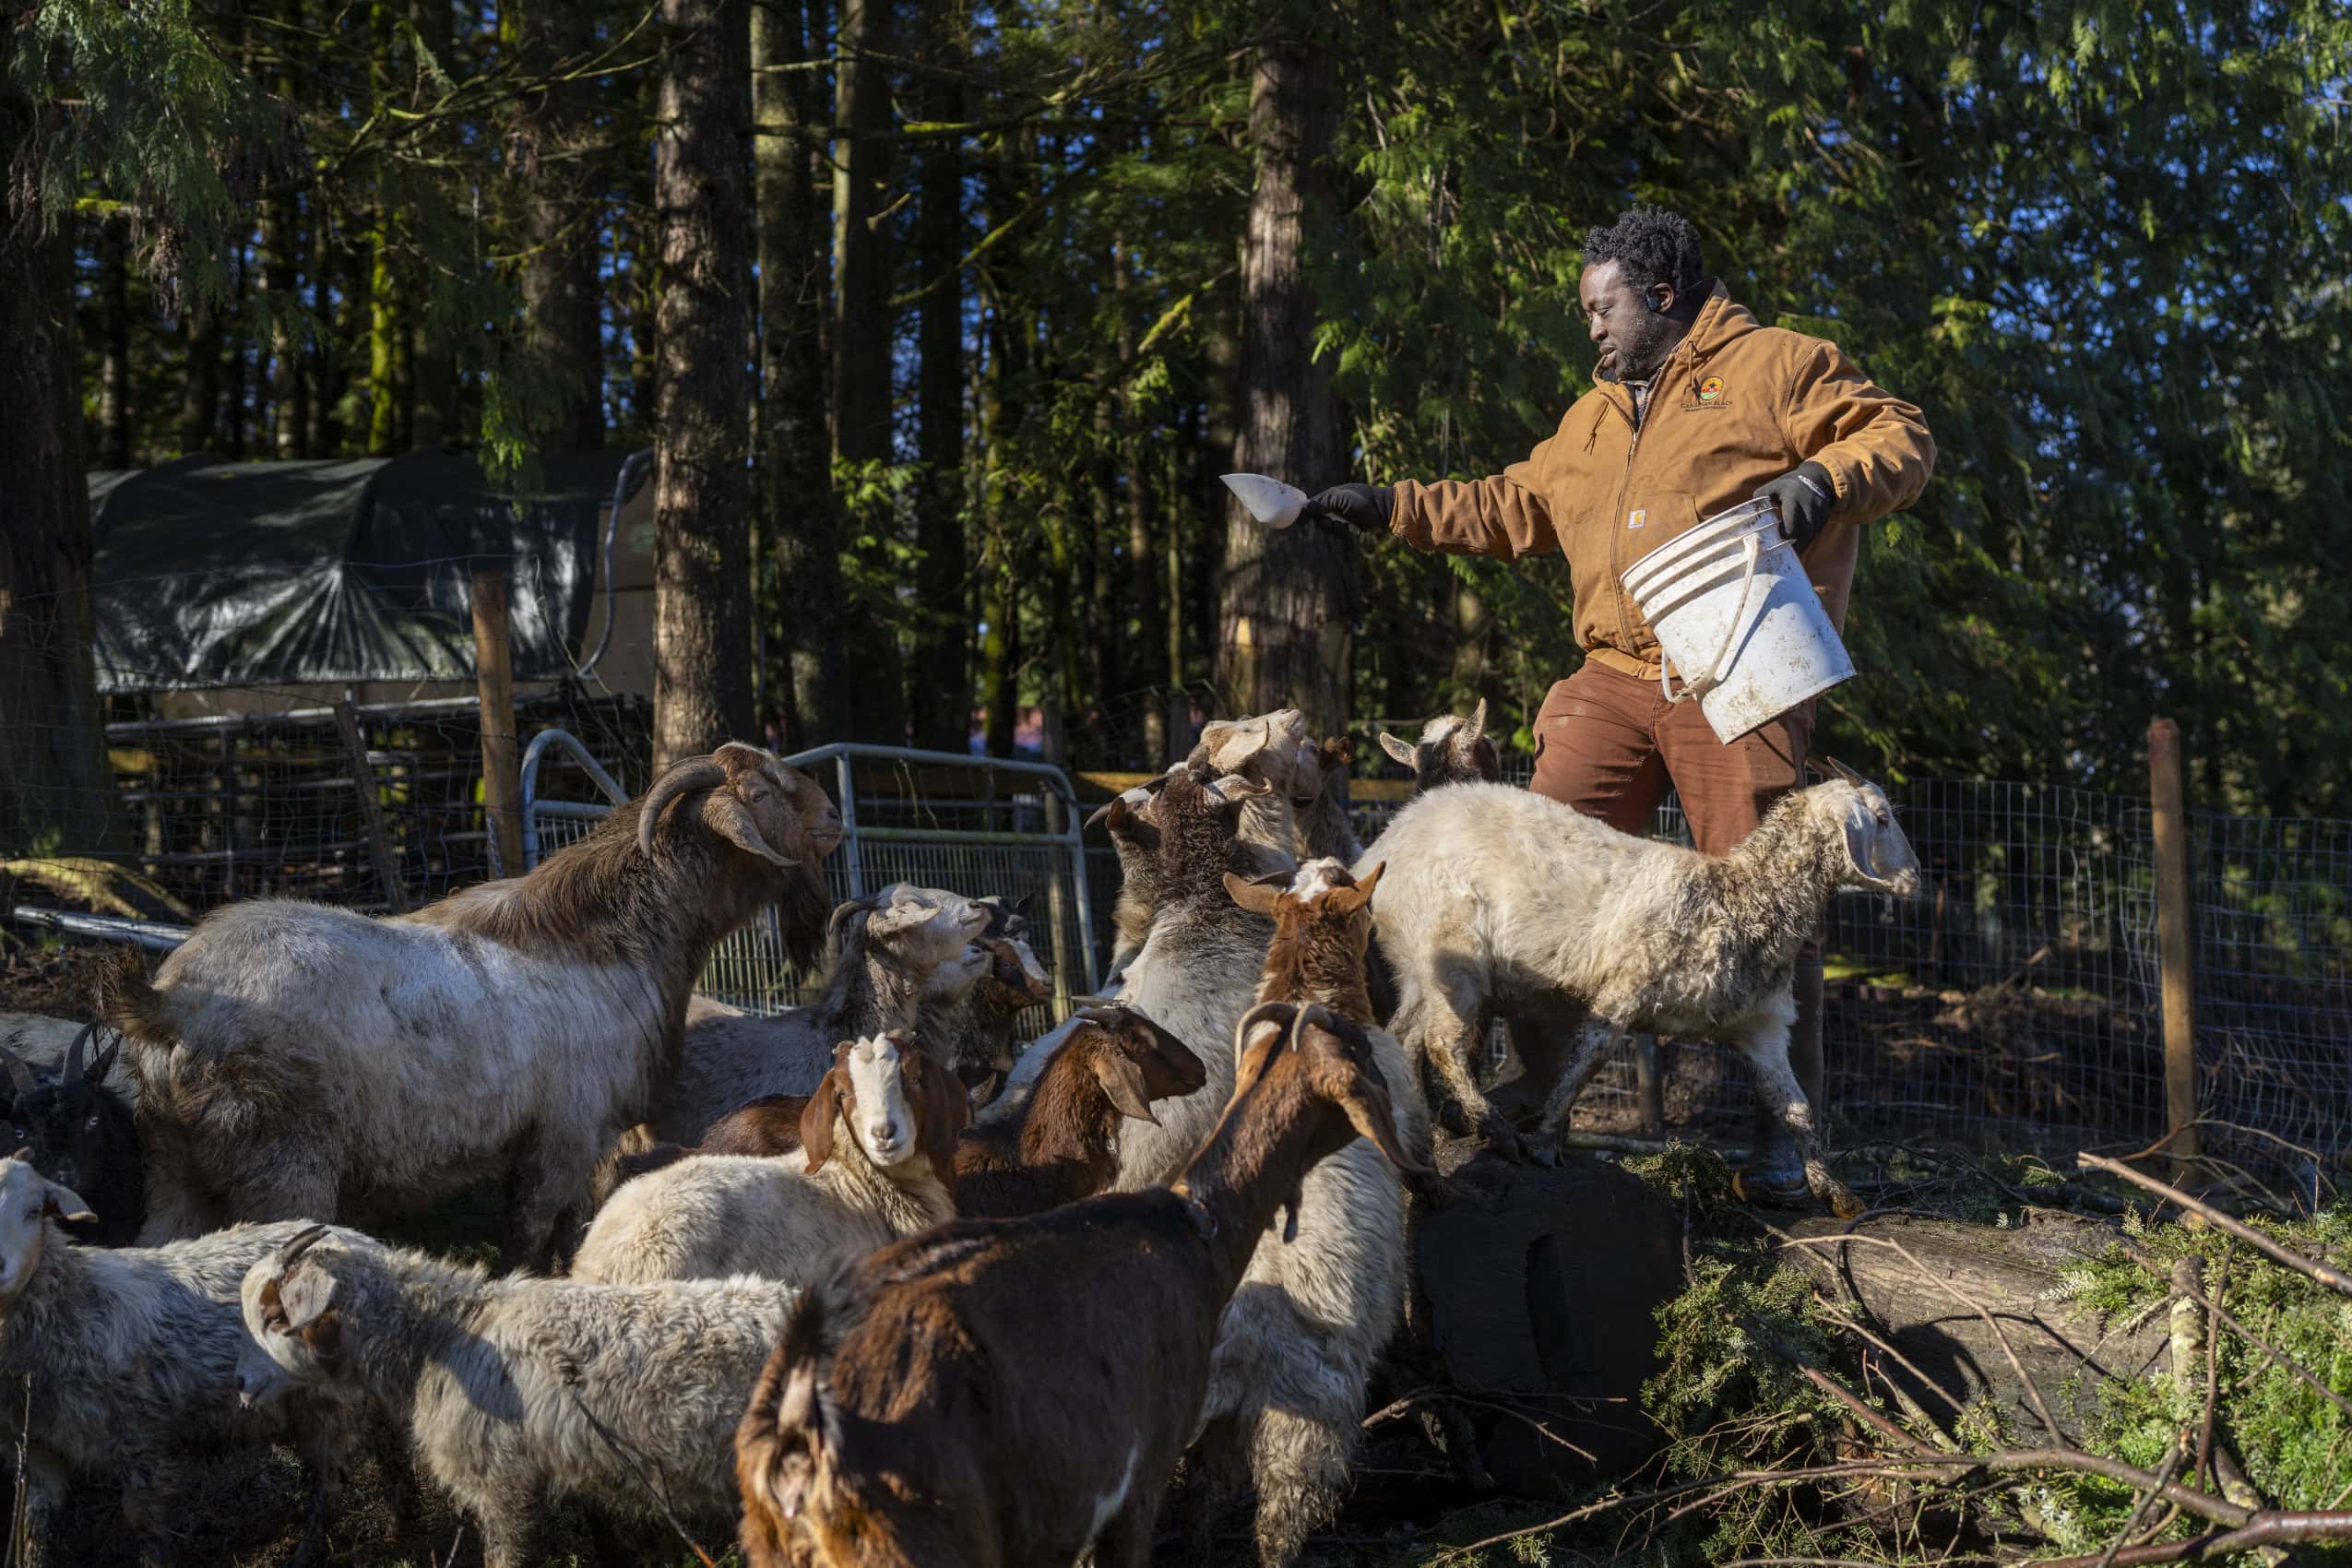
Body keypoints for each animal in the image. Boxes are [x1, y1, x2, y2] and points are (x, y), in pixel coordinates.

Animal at [0, 1155, 365, 1568]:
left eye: (33, 1211)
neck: (75, 1302)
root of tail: (362, 1240)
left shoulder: (139, 1435)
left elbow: (143, 1523)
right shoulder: (35, 1446)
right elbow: (34, 1526)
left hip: (327, 1401)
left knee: (329, 1479)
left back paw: (306, 1551)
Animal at [99, 743, 840, 1268]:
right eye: (764, 790)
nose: (835, 816)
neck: (605, 942)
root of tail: (170, 1004)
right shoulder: (571, 1135)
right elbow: (534, 1238)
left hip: (171, 1160)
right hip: (281, 1159)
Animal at [1364, 759, 1920, 1215]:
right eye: (1882, 818)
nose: (1917, 878)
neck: (1737, 897)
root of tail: (1386, 842)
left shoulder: (1761, 1028)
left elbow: (1796, 1107)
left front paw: (1833, 1190)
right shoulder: (1623, 989)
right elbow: (1583, 1064)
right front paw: (1545, 1141)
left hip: (1413, 963)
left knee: (1402, 1038)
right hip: (1451, 953)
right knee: (1443, 1044)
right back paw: (1495, 1131)